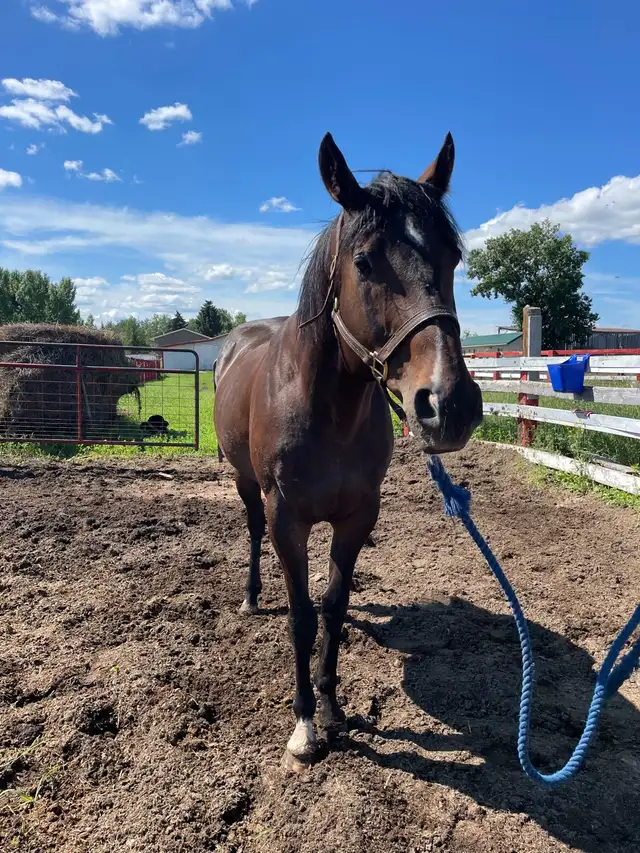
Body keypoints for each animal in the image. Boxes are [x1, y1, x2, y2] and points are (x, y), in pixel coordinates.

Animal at [213, 131, 483, 770]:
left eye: (452, 258)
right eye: (363, 262)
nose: (449, 404)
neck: (327, 409)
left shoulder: (358, 515)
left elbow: (333, 606)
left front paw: (332, 707)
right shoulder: (288, 518)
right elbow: (301, 616)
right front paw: (305, 725)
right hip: (246, 485)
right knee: (252, 532)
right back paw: (251, 597)